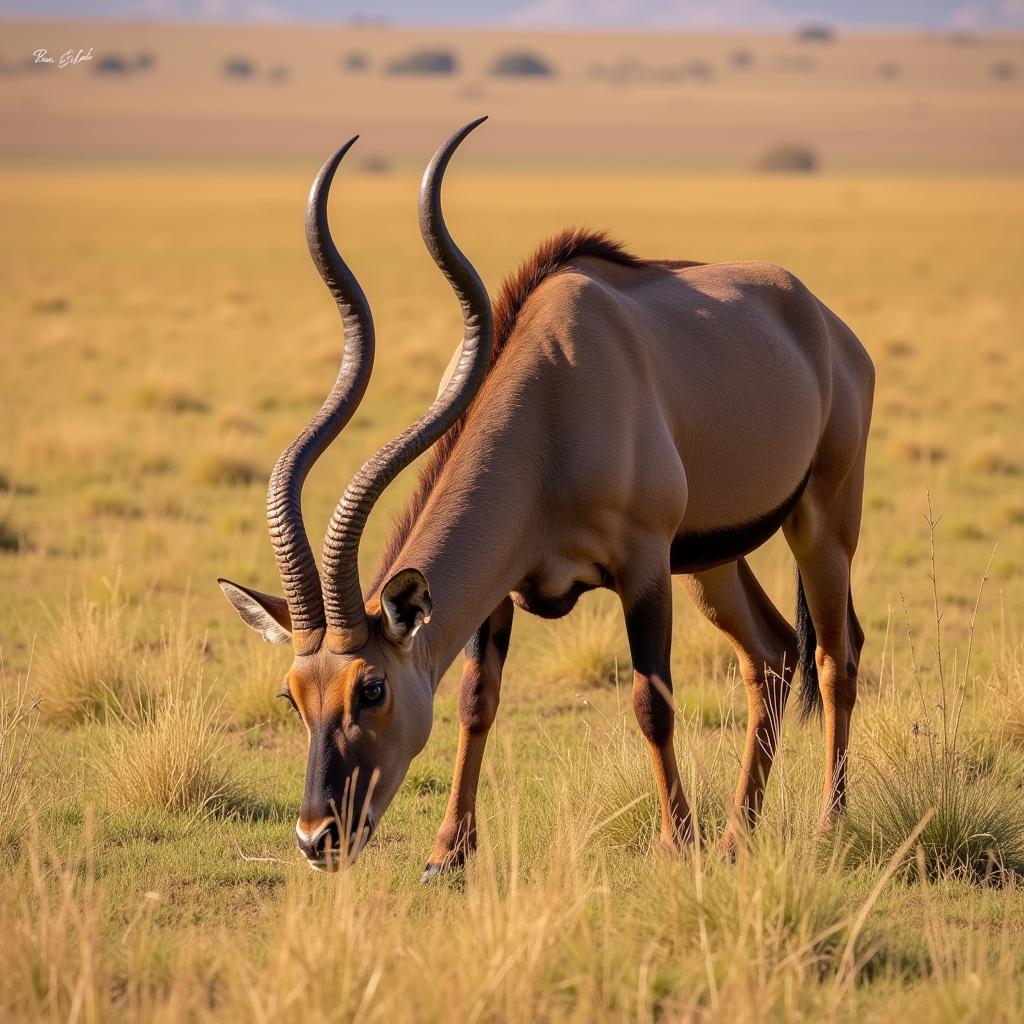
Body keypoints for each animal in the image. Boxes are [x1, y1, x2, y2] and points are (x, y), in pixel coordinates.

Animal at [216, 117, 872, 872]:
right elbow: (477, 698)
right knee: (771, 656)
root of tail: (825, 323)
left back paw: (827, 825)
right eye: (293, 695)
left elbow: (652, 702)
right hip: (711, 563)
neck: (555, 387)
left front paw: (677, 840)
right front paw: (447, 853)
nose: (318, 836)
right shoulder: (503, 585)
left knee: (834, 658)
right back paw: (738, 835)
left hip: (821, 523)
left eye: (371, 687)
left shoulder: (644, 568)